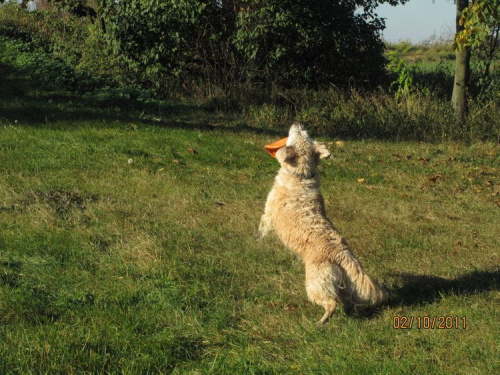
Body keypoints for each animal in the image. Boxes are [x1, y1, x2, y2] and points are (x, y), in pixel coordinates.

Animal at [260, 123, 388, 326]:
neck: (302, 175)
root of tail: (342, 253)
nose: (298, 123)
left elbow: (263, 224)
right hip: (342, 285)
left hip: (316, 284)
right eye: (305, 133)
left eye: (299, 133)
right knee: (346, 301)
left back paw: (320, 322)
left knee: (330, 303)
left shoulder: (269, 210)